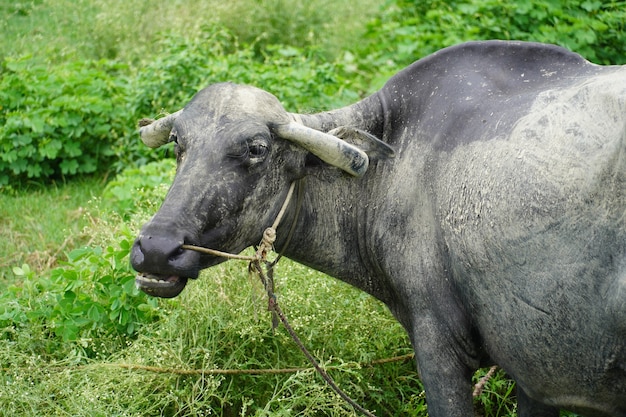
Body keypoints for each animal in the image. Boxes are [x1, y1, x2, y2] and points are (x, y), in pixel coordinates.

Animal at [128, 39, 624, 416]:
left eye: (256, 148)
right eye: (179, 142)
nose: (156, 248)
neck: (396, 162)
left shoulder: (439, 348)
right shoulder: (533, 374)